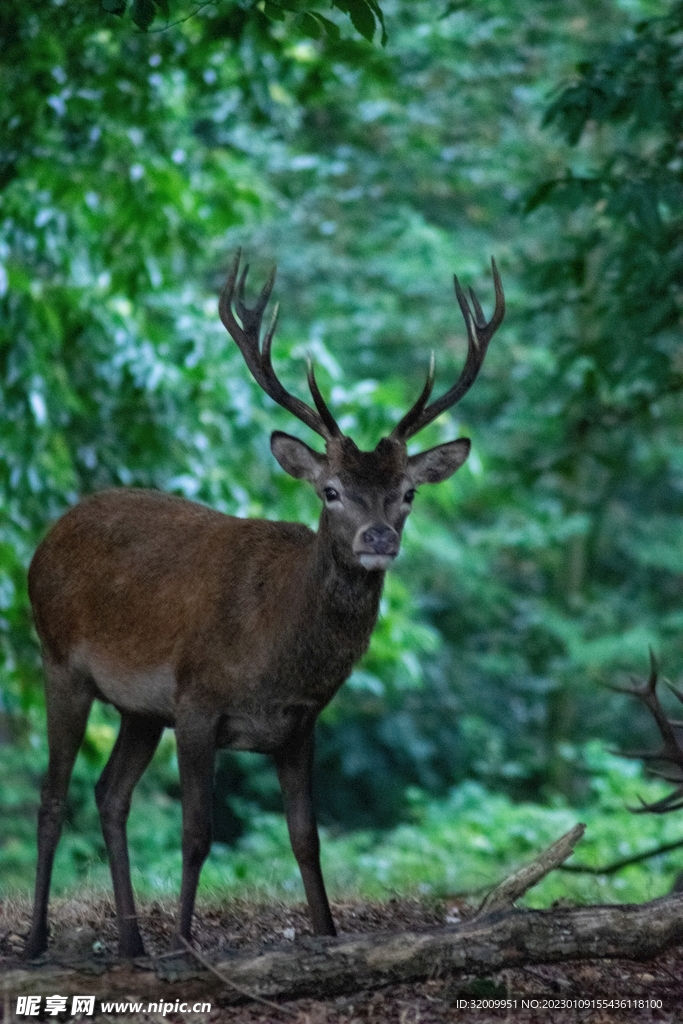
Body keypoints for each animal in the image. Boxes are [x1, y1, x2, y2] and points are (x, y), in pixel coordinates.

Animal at [24, 250, 504, 960]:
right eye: (331, 491)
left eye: (408, 493)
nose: (378, 539)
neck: (275, 655)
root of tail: (45, 540)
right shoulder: (197, 702)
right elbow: (197, 834)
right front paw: (187, 945)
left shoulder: (299, 726)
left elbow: (307, 840)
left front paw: (328, 936)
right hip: (61, 661)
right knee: (53, 796)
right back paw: (37, 941)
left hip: (139, 707)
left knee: (110, 794)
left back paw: (133, 942)